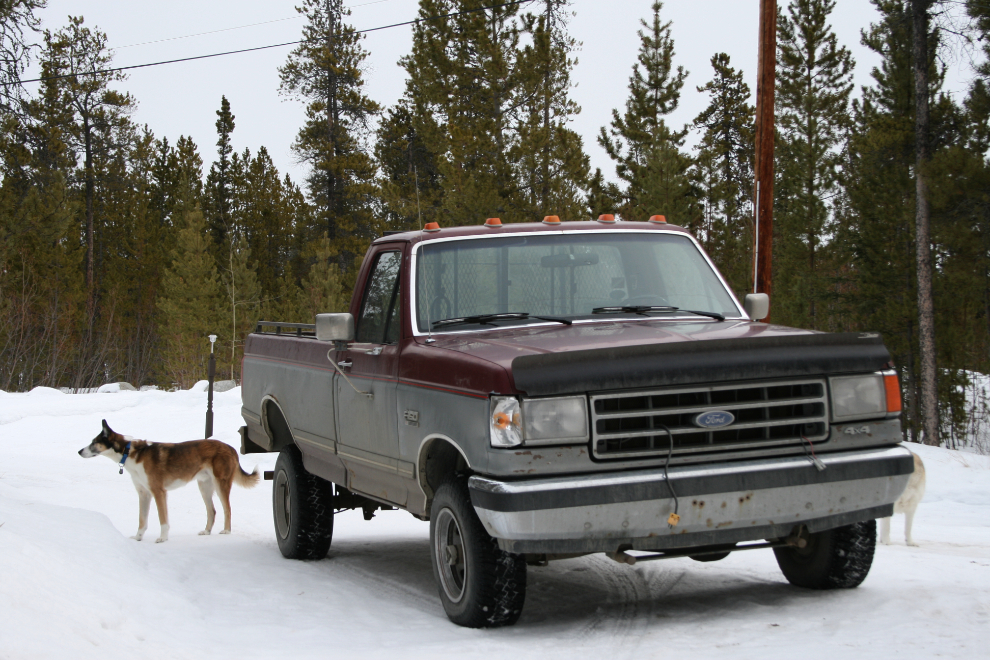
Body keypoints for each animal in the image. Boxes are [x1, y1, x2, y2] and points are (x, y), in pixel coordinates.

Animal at [79, 422, 260, 540]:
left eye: (94, 442)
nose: (79, 451)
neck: (130, 451)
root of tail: (230, 447)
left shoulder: (158, 492)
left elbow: (162, 519)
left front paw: (163, 538)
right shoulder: (143, 494)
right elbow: (142, 520)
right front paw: (138, 538)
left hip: (220, 484)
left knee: (227, 509)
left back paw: (226, 531)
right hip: (204, 486)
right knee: (212, 511)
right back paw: (207, 531)